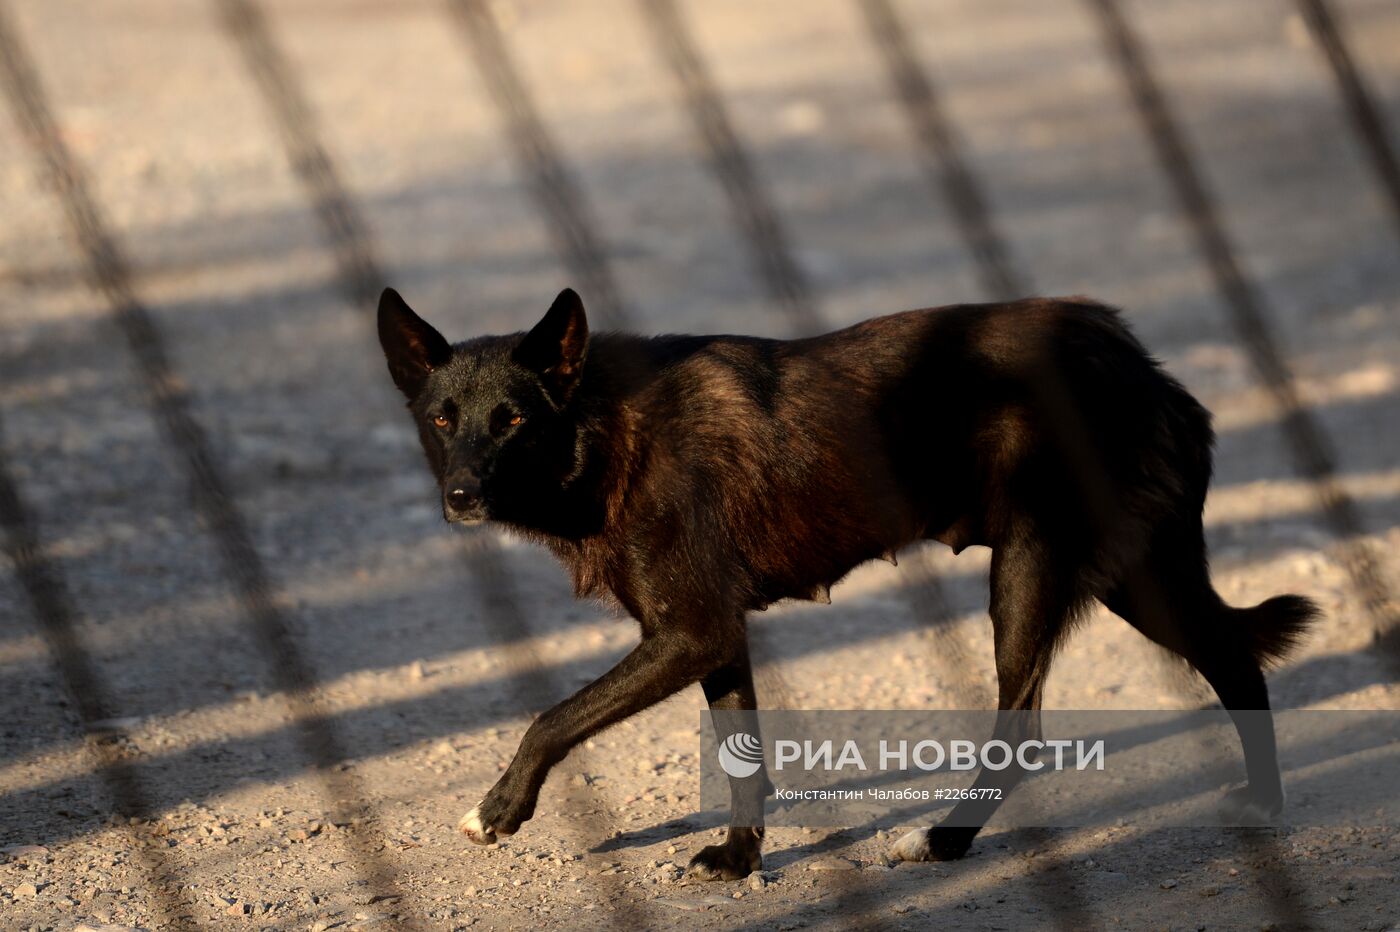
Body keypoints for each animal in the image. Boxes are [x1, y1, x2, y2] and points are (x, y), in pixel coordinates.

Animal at [375, 286, 1310, 873]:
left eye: (514, 420)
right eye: (443, 421)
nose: (460, 497)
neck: (605, 430)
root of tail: (1136, 359)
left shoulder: (690, 632)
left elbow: (552, 718)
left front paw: (497, 810)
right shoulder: (713, 638)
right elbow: (743, 756)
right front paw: (741, 859)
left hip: (1030, 571)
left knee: (1024, 728)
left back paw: (944, 843)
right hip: (1135, 576)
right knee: (1235, 663)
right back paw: (1266, 805)